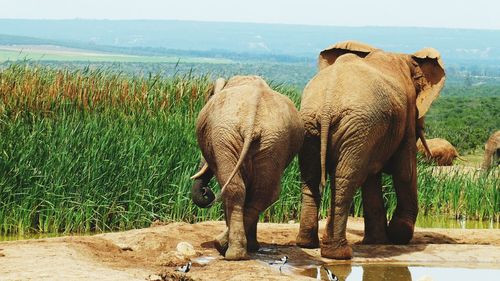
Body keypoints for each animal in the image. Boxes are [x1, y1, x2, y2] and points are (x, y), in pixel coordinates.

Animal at [189, 75, 302, 260]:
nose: (206, 191)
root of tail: (251, 121)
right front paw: (253, 247)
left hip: (225, 137)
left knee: (233, 188)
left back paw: (226, 249)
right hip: (273, 141)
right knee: (262, 192)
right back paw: (239, 249)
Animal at [294, 40, 444, 258]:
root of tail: (328, 105)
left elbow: (372, 176)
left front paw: (378, 241)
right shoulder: (406, 113)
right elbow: (405, 171)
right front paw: (398, 235)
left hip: (316, 123)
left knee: (311, 178)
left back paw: (307, 244)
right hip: (358, 126)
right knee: (345, 180)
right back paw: (339, 253)